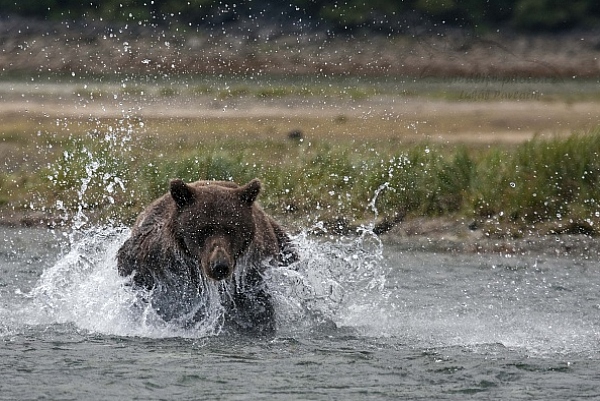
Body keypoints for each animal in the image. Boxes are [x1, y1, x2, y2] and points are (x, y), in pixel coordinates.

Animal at [116, 178, 298, 334]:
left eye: (232, 230)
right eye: (203, 230)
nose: (219, 266)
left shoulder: (253, 271)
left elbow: (257, 309)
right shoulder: (154, 259)